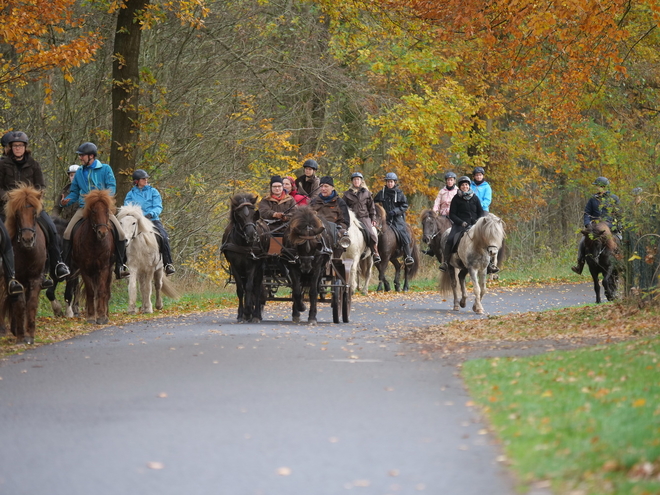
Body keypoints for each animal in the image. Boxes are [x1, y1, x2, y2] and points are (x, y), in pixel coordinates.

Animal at [2, 186, 49, 344]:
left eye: (34, 214)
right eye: (17, 214)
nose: (27, 239)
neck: (27, 252)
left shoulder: (36, 278)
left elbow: (31, 303)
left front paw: (30, 334)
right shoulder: (18, 280)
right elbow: (20, 304)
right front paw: (21, 336)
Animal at [73, 190, 118, 326]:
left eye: (107, 211)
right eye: (93, 211)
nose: (102, 233)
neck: (94, 243)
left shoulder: (104, 267)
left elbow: (102, 291)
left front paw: (102, 316)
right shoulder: (85, 269)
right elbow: (91, 291)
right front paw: (91, 317)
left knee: (106, 290)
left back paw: (106, 314)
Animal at [220, 192, 270, 324]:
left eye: (254, 213)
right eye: (239, 215)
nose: (251, 234)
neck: (242, 242)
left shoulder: (252, 265)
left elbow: (249, 287)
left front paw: (248, 313)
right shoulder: (234, 266)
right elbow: (240, 289)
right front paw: (241, 315)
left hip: (261, 266)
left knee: (256, 288)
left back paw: (256, 314)